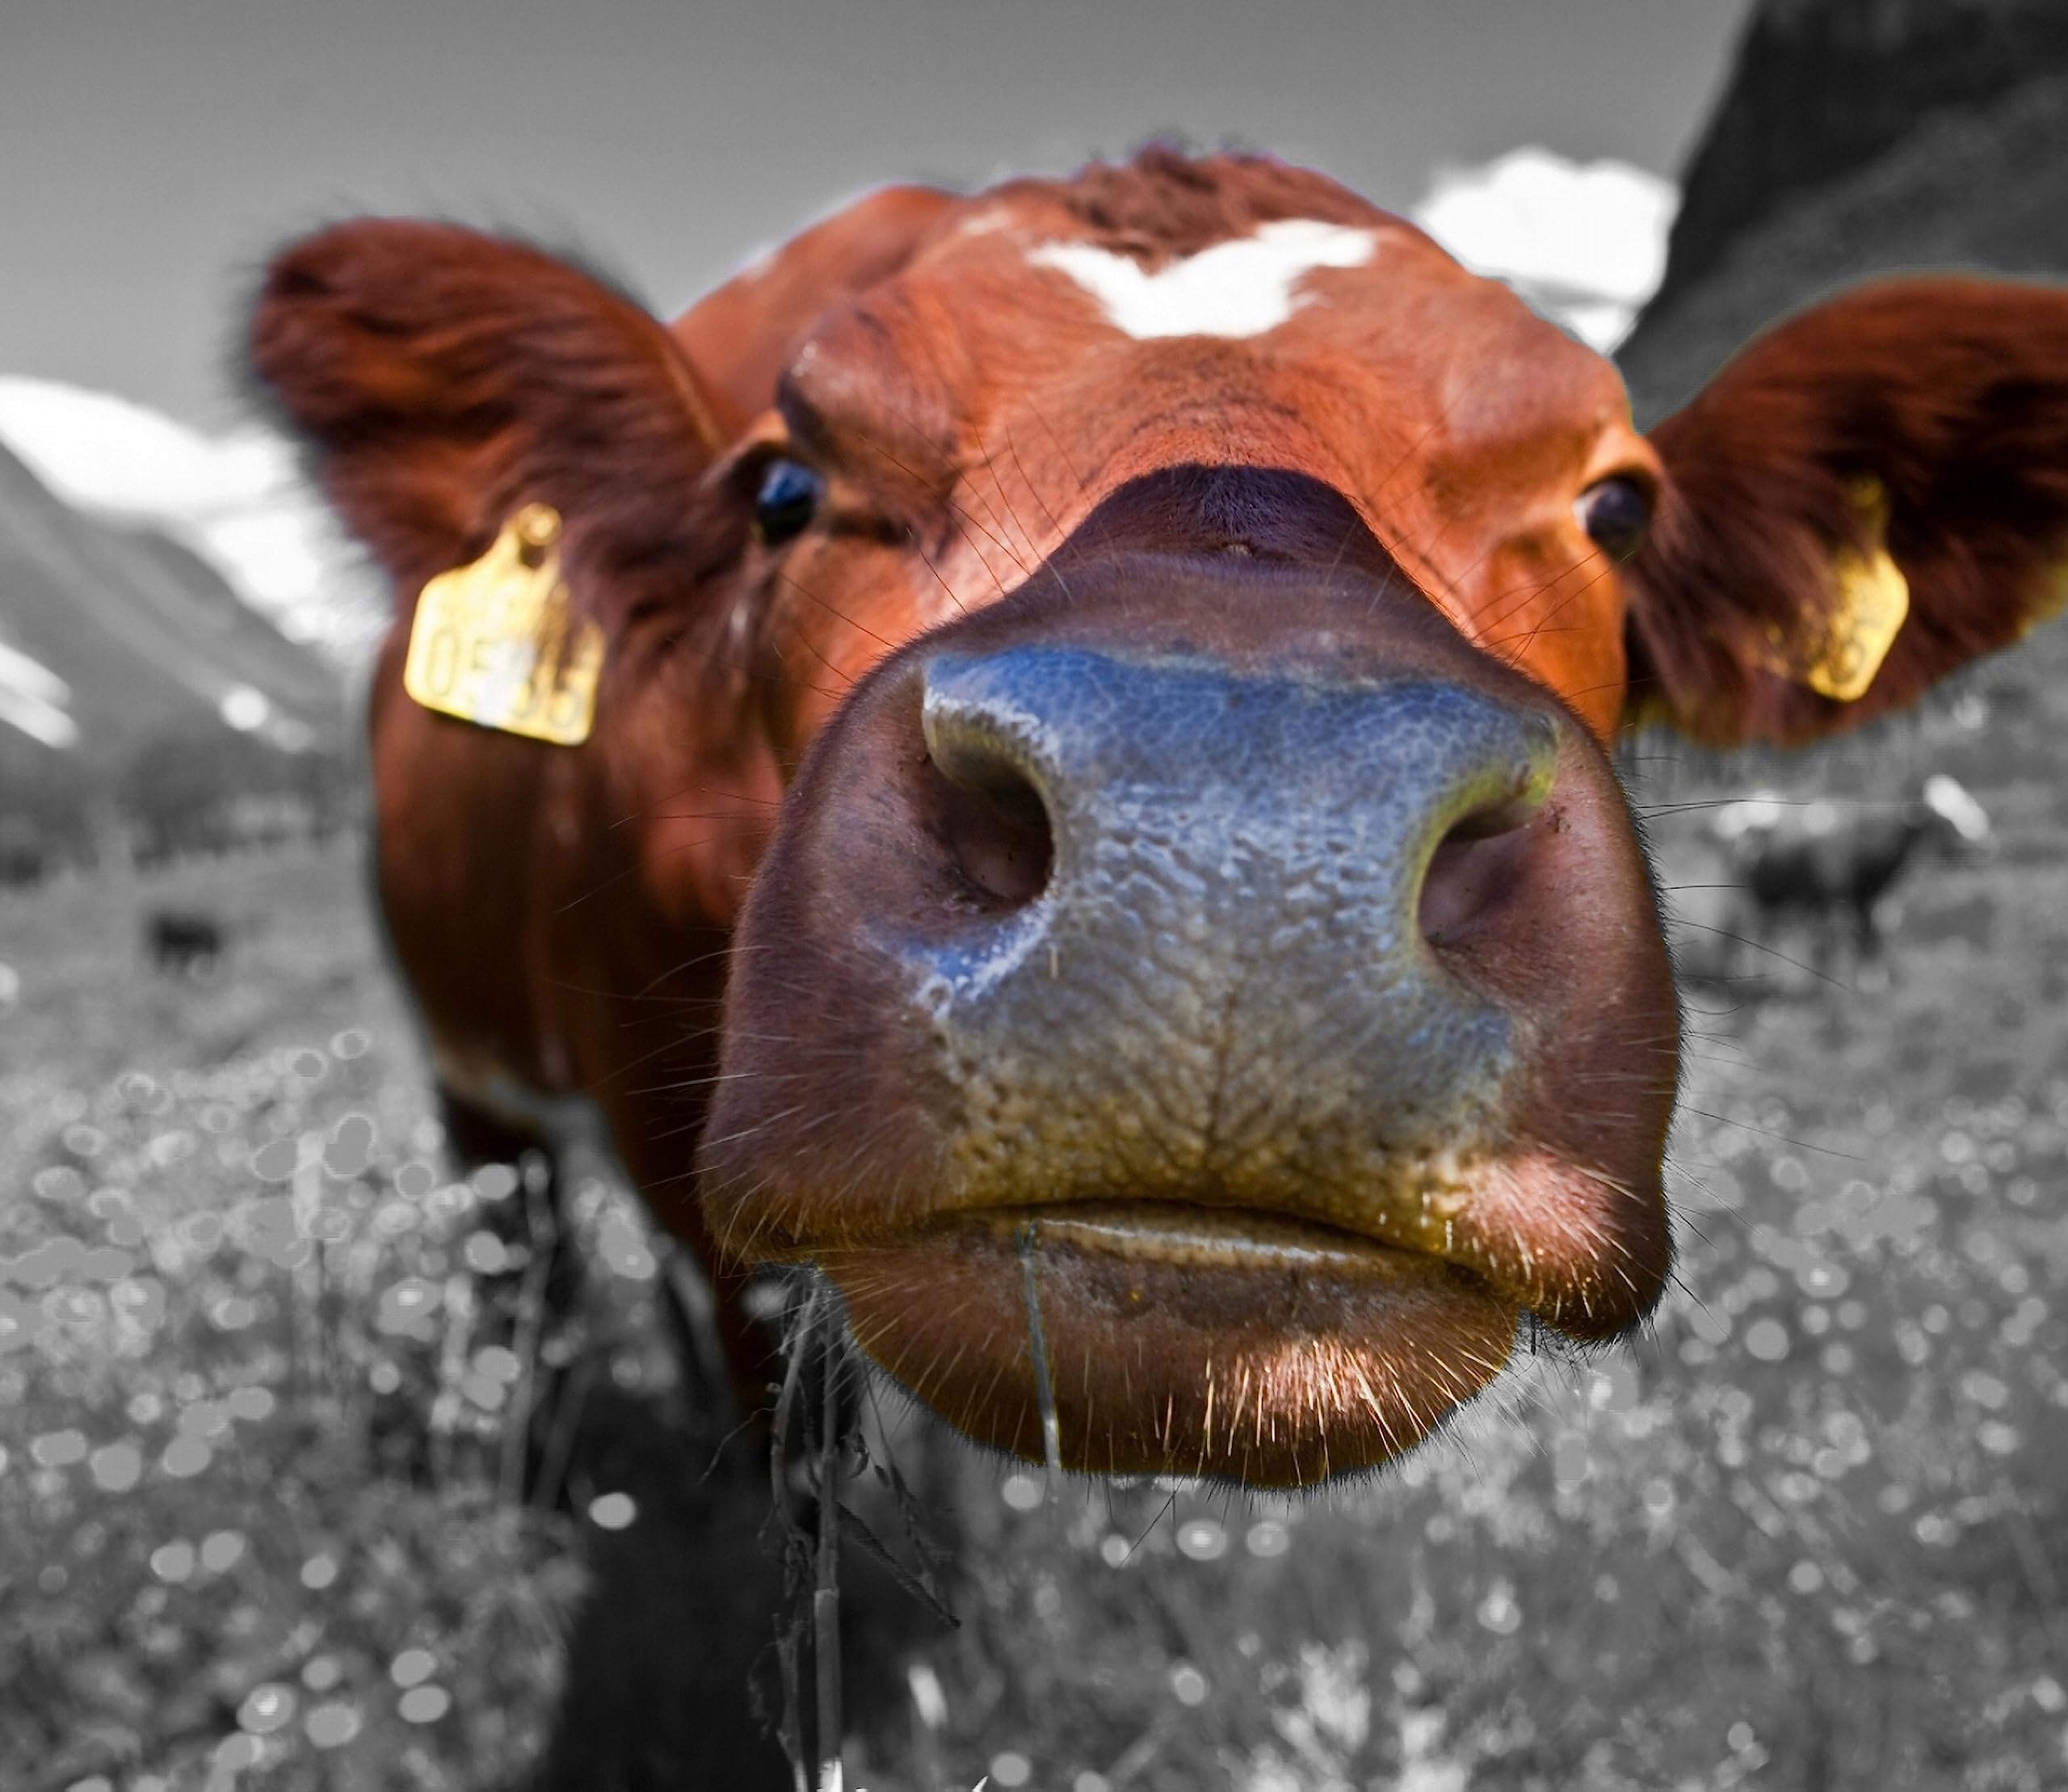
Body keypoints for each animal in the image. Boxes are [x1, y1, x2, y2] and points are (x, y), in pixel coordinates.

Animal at [247, 148, 2068, 1491]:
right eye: (780, 484)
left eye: (1614, 505)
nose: (1241, 843)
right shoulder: (684, 1158)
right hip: (476, 1076)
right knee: (525, 1274)